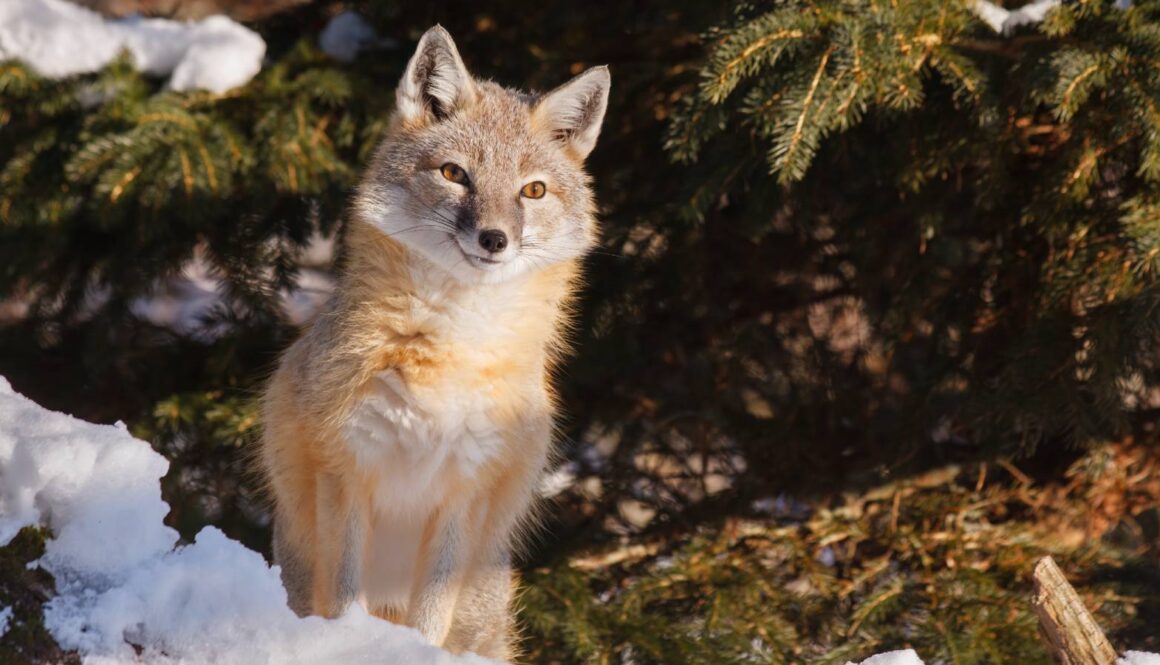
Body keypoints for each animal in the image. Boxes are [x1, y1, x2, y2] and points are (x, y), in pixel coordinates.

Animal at [257, 25, 609, 659]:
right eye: (454, 174)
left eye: (533, 191)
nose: (494, 239)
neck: (451, 346)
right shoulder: (347, 469)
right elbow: (342, 600)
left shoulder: (463, 495)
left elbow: (430, 619)